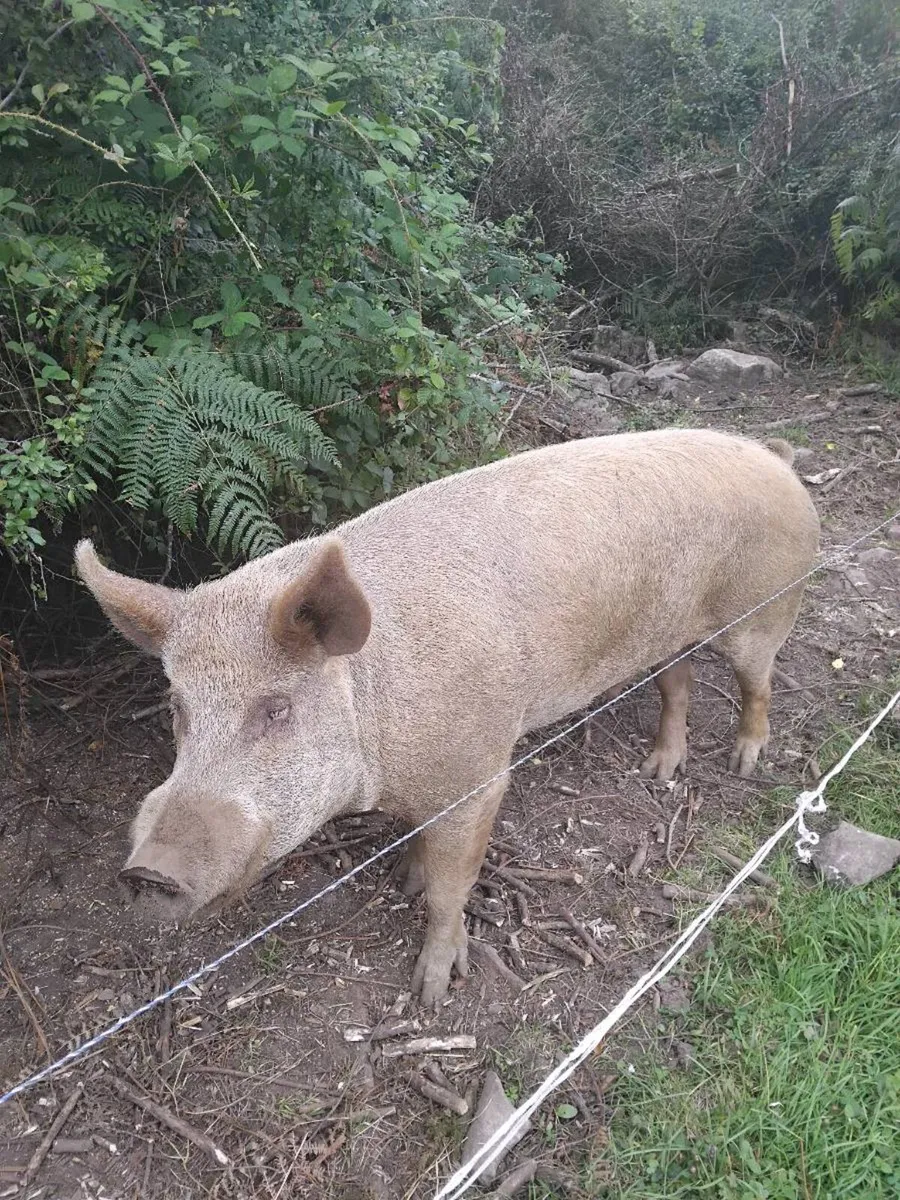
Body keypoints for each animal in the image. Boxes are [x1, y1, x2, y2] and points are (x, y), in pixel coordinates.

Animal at [75, 429, 819, 1005]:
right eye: (179, 708)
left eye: (276, 708)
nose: (146, 872)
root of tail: (775, 458)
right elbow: (417, 845)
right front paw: (402, 877)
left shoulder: (479, 774)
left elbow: (450, 886)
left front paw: (431, 992)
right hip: (670, 633)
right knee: (677, 682)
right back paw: (659, 771)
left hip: (766, 609)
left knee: (757, 682)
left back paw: (744, 761)